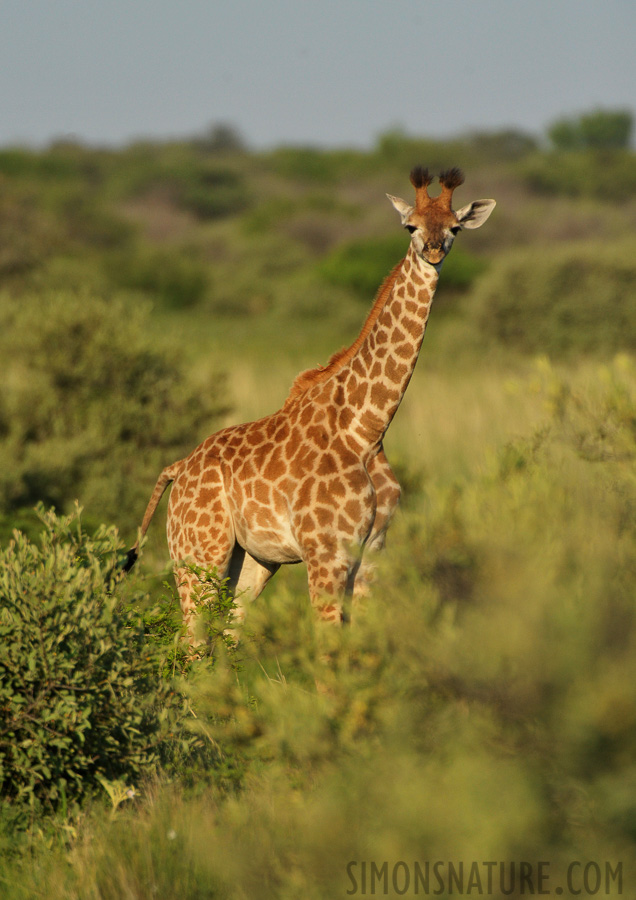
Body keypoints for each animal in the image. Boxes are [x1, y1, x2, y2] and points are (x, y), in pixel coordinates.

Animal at [125, 167, 496, 632]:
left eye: (454, 228)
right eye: (410, 226)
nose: (432, 251)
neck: (367, 428)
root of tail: (177, 469)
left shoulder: (373, 554)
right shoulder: (326, 552)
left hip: (253, 560)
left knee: (227, 632)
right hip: (198, 554)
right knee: (191, 638)